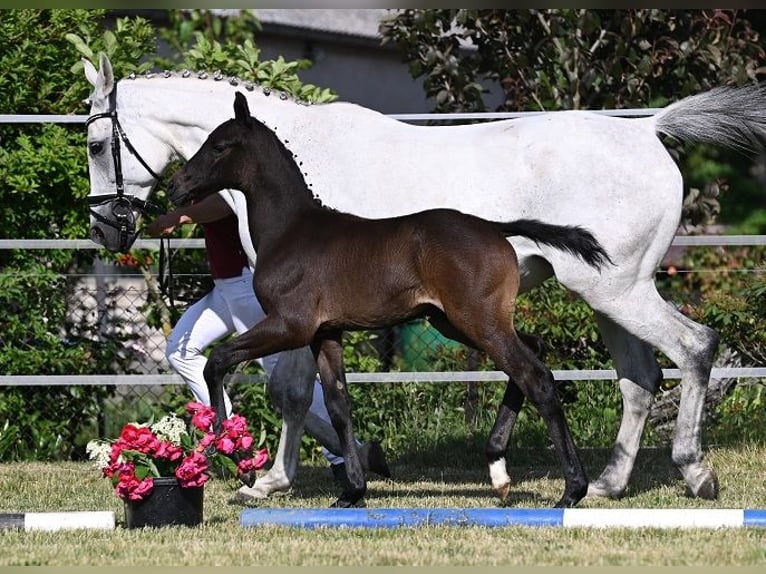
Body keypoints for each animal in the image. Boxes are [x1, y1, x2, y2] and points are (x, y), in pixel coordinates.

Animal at [168, 92, 612, 510]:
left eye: (219, 146)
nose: (176, 187)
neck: (291, 229)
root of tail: (494, 228)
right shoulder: (326, 334)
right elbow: (338, 405)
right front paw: (352, 492)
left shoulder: (290, 326)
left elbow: (217, 361)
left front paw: (236, 461)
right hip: (457, 321)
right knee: (532, 354)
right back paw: (498, 469)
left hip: (476, 321)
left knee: (536, 377)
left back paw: (571, 489)